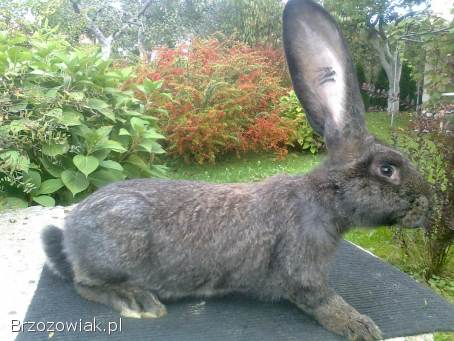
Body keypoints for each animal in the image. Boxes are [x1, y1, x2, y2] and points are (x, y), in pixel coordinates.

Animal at [42, 0, 432, 340]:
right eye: (387, 169)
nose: (429, 204)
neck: (324, 198)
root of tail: (70, 234)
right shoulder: (302, 273)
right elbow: (323, 302)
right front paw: (360, 326)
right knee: (84, 284)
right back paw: (137, 301)